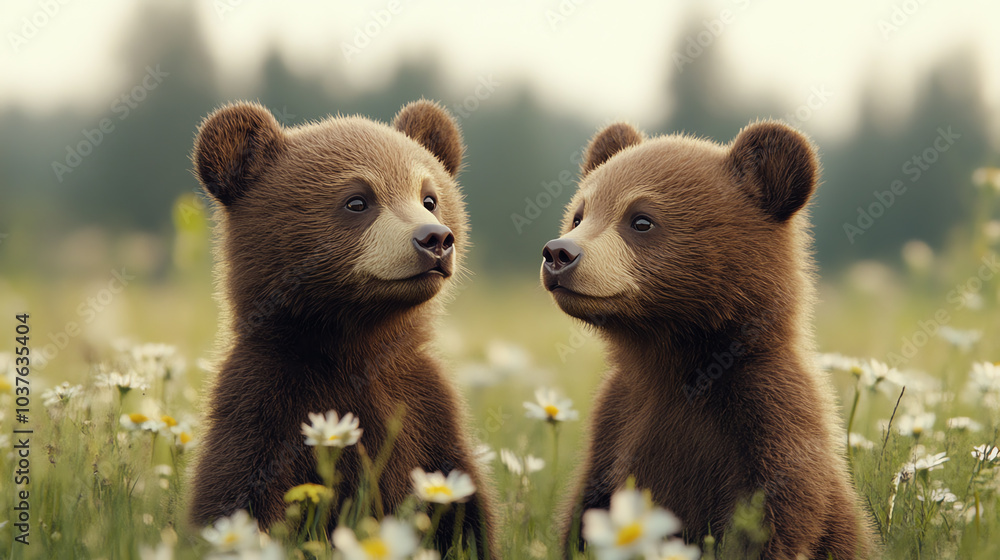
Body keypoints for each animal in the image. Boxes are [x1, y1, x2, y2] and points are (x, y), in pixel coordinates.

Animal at [187, 99, 496, 556]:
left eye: (429, 197)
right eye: (357, 201)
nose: (435, 239)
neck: (354, 341)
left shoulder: (426, 407)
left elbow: (466, 507)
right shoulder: (264, 402)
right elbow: (239, 493)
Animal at [541, 121, 875, 559]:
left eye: (641, 220)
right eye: (579, 215)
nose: (558, 253)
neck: (677, 360)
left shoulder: (767, 413)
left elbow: (774, 518)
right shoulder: (618, 417)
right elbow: (587, 506)